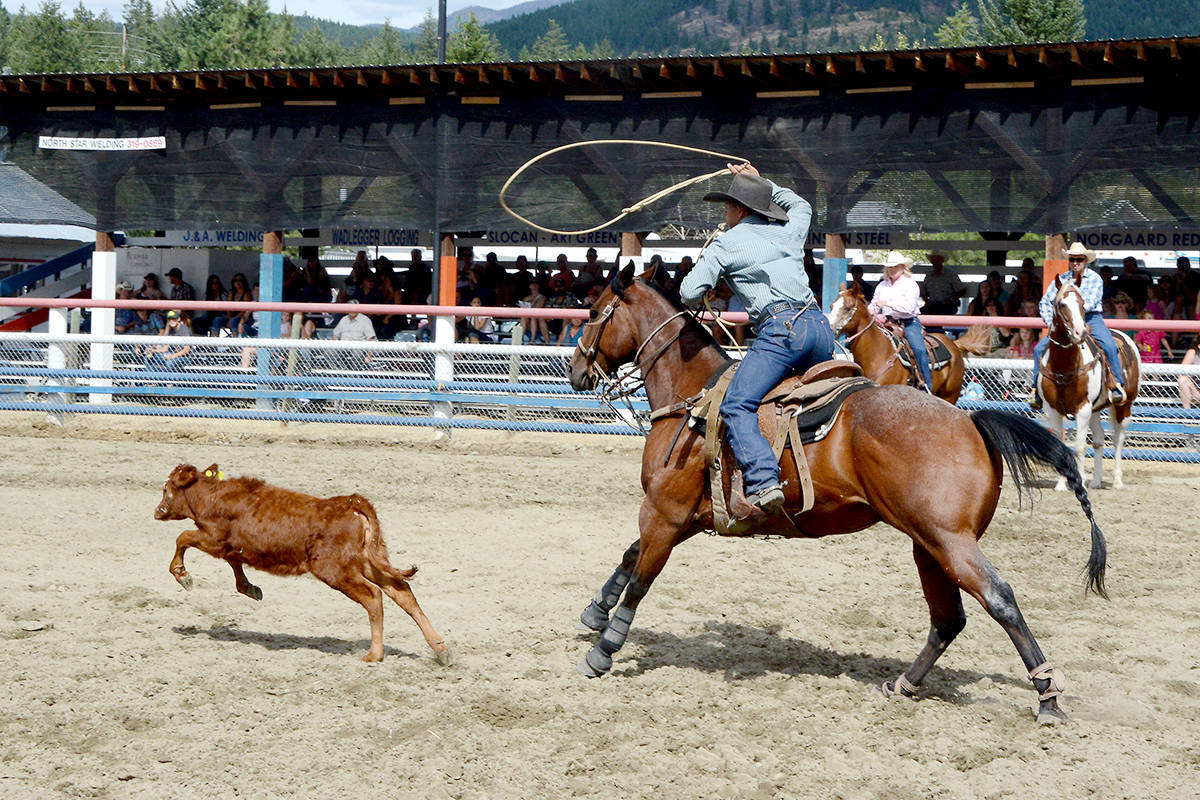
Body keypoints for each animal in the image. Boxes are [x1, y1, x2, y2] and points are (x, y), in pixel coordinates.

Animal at [151, 462, 451, 662]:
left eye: (165, 489)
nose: (156, 511)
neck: (212, 496)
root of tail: (350, 503)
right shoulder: (233, 546)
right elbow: (234, 564)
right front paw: (250, 589)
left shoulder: (213, 539)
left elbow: (182, 538)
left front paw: (183, 576)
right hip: (368, 562)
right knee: (401, 592)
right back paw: (441, 649)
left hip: (335, 570)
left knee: (373, 596)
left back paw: (374, 654)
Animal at [825, 284, 993, 402]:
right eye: (831, 306)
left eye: (847, 308)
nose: (829, 329)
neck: (878, 354)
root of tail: (954, 345)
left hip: (950, 395)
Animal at [1032, 281, 1142, 494]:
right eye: (1061, 304)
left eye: (1083, 304)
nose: (1079, 333)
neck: (1064, 365)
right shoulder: (1052, 410)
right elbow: (1060, 446)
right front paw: (1061, 484)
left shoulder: (1082, 409)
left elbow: (1080, 446)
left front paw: (1080, 481)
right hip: (1095, 410)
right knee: (1099, 439)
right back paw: (1097, 480)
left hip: (1124, 406)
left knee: (1118, 439)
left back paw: (1117, 480)